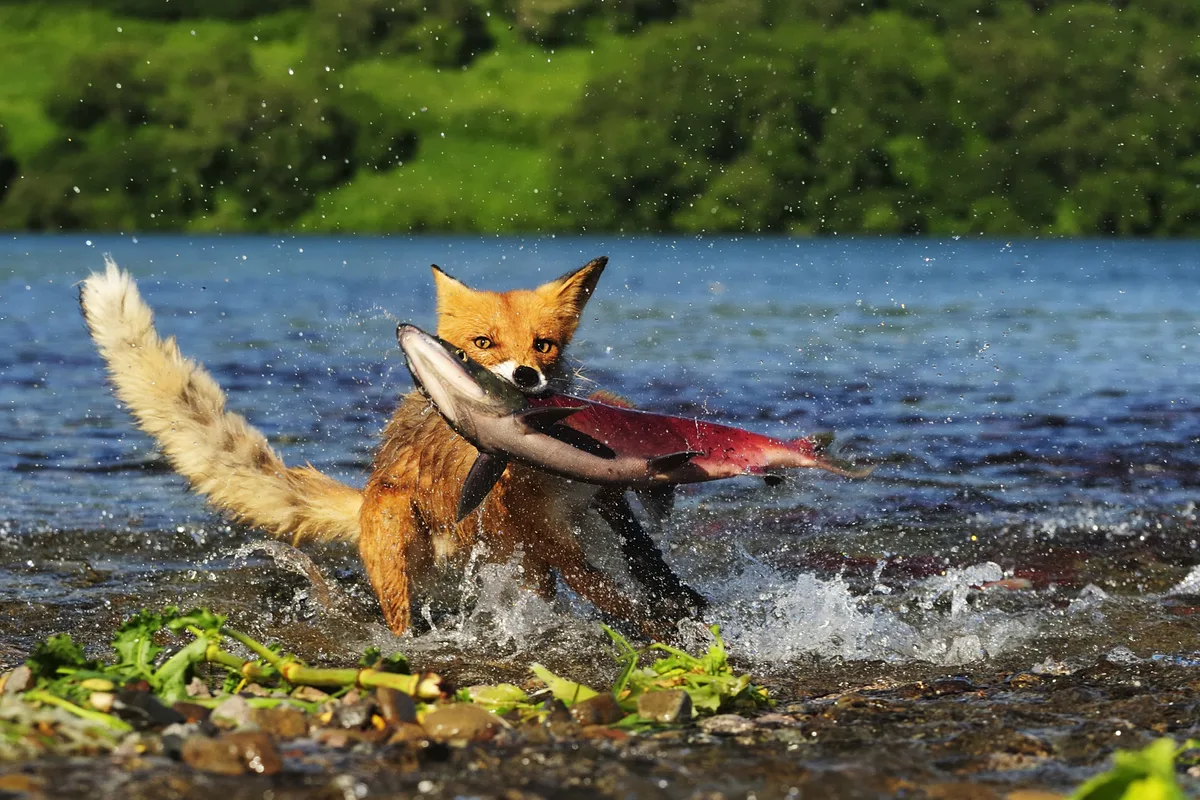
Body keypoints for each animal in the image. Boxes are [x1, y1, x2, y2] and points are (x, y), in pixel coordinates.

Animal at [79, 255, 702, 637]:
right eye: (482, 344)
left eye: (544, 345)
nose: (526, 378)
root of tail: (367, 491)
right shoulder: (544, 534)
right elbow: (611, 594)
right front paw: (663, 632)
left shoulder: (597, 499)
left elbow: (644, 555)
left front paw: (679, 601)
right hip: (402, 538)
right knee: (402, 620)